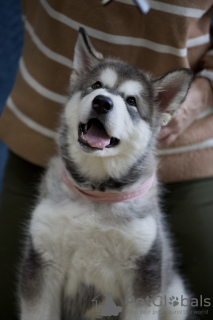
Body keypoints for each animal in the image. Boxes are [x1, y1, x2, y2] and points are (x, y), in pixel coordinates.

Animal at [19, 28, 193, 320]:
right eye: (96, 86)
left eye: (132, 101)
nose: (102, 102)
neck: (96, 194)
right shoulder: (43, 258)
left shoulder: (145, 270)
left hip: (175, 295)